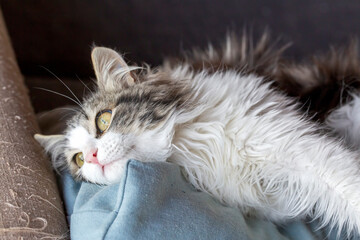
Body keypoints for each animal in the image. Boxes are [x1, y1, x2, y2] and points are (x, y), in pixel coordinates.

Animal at [34, 34, 360, 237]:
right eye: (78, 160)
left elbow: (348, 187)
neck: (187, 150)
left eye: (103, 120)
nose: (91, 156)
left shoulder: (295, 145)